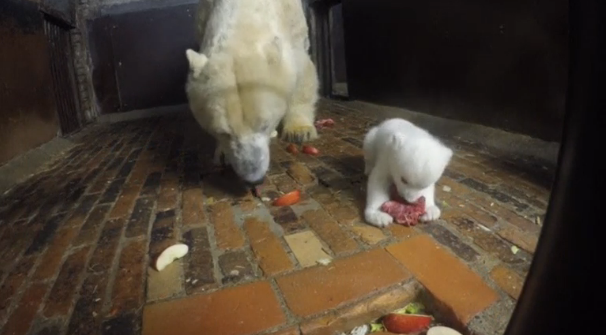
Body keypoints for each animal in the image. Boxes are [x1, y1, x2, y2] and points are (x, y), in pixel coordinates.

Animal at [185, 0, 320, 186]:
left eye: (264, 124)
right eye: (222, 132)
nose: (253, 179)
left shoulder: (292, 28)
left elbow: (304, 74)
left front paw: (299, 131)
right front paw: (223, 154)